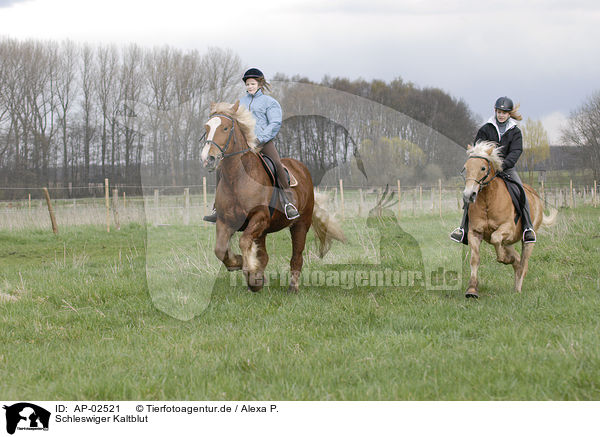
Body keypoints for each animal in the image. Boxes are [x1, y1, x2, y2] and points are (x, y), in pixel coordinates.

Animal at [200, 100, 344, 292]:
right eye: (207, 128)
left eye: (225, 128)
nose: (208, 158)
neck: (237, 179)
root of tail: (302, 169)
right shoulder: (225, 221)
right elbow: (220, 249)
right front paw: (242, 266)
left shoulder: (259, 217)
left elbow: (244, 241)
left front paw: (250, 272)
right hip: (263, 232)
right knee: (265, 255)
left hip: (300, 225)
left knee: (297, 257)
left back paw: (292, 287)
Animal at [462, 141, 556, 298]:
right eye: (466, 167)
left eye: (483, 168)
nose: (469, 195)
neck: (488, 200)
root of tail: (536, 195)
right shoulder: (474, 233)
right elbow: (475, 259)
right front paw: (472, 290)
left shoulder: (508, 229)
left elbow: (495, 239)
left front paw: (505, 259)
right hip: (508, 242)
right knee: (517, 260)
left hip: (528, 240)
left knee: (523, 263)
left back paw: (517, 288)